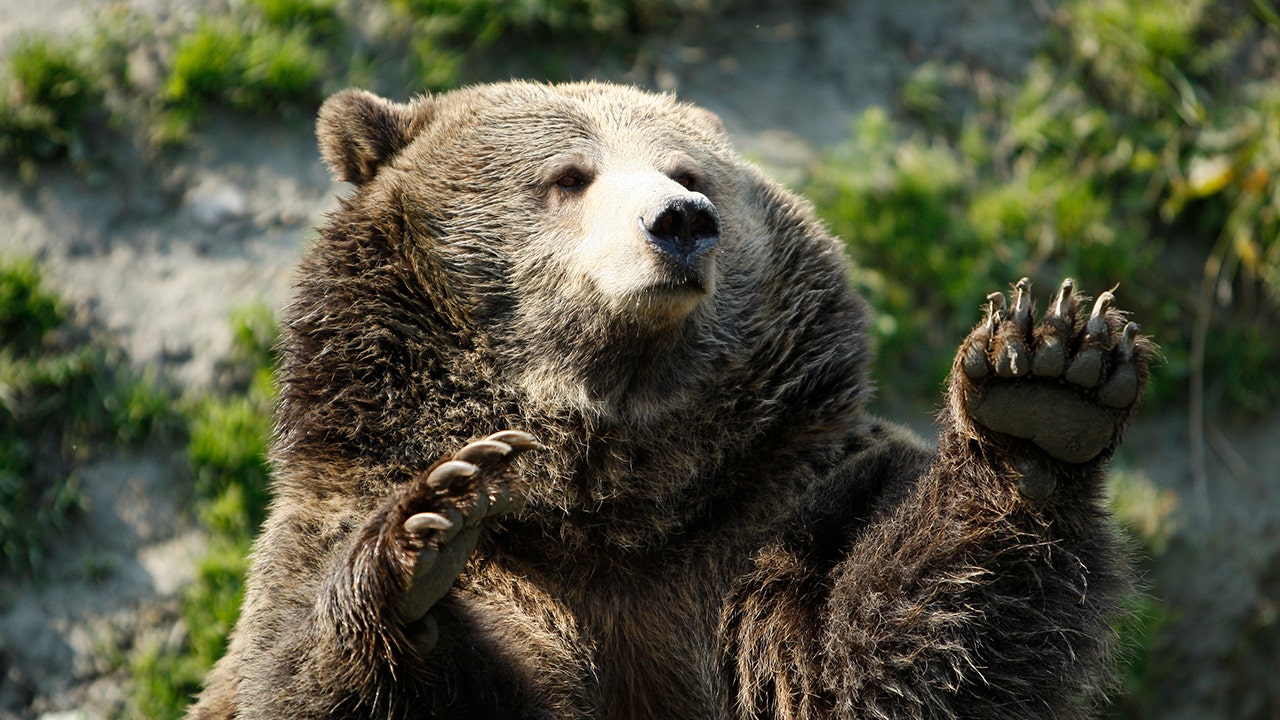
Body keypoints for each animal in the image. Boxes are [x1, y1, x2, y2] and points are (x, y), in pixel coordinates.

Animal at [185, 81, 1157, 712]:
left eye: (689, 170)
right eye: (568, 175)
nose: (681, 221)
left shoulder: (760, 519)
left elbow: (873, 662)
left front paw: (1044, 392)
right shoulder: (338, 525)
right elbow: (302, 671)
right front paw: (426, 530)